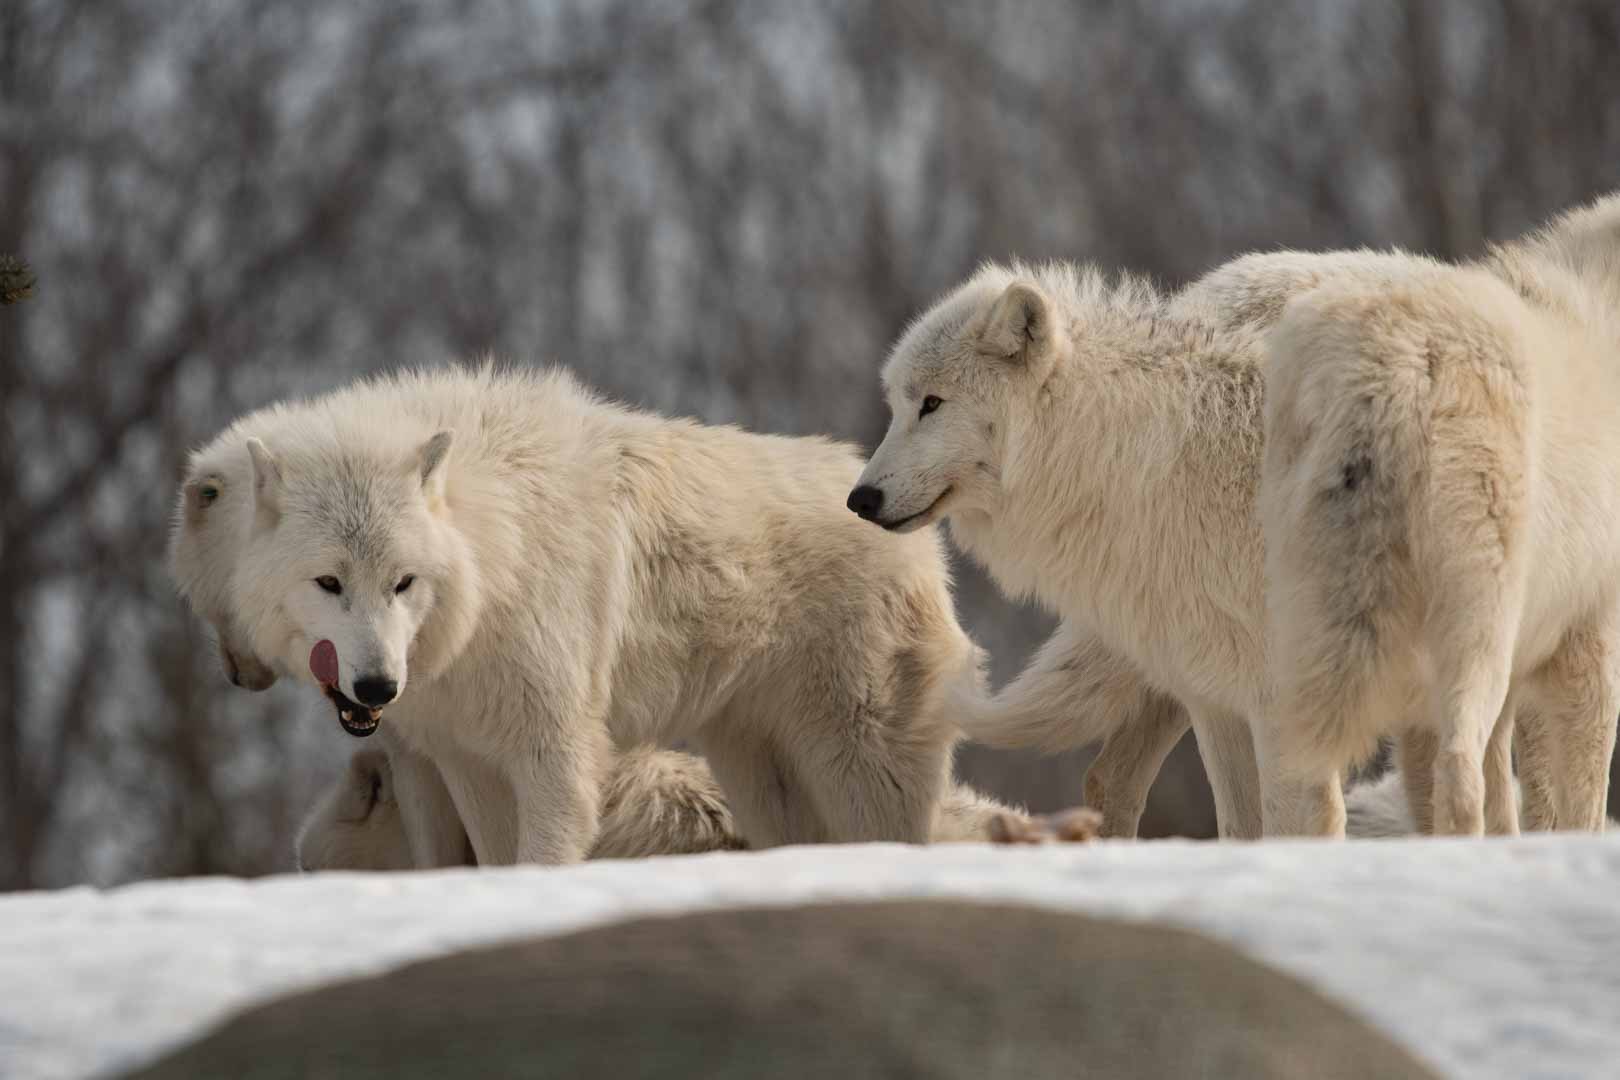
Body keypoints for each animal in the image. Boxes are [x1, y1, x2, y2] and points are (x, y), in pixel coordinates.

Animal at [174, 365, 985, 865]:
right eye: (329, 583)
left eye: (402, 583)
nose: (377, 687)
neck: (494, 552)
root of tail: (907, 525)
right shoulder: (463, 757)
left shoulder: (553, 748)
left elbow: (545, 851)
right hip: (759, 771)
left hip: (853, 760)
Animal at [1261, 192, 1620, 834]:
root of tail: (1391, 364)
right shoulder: (1590, 642)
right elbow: (1578, 797)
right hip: (1476, 628)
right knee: (1459, 770)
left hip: (1309, 630)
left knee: (1317, 778)